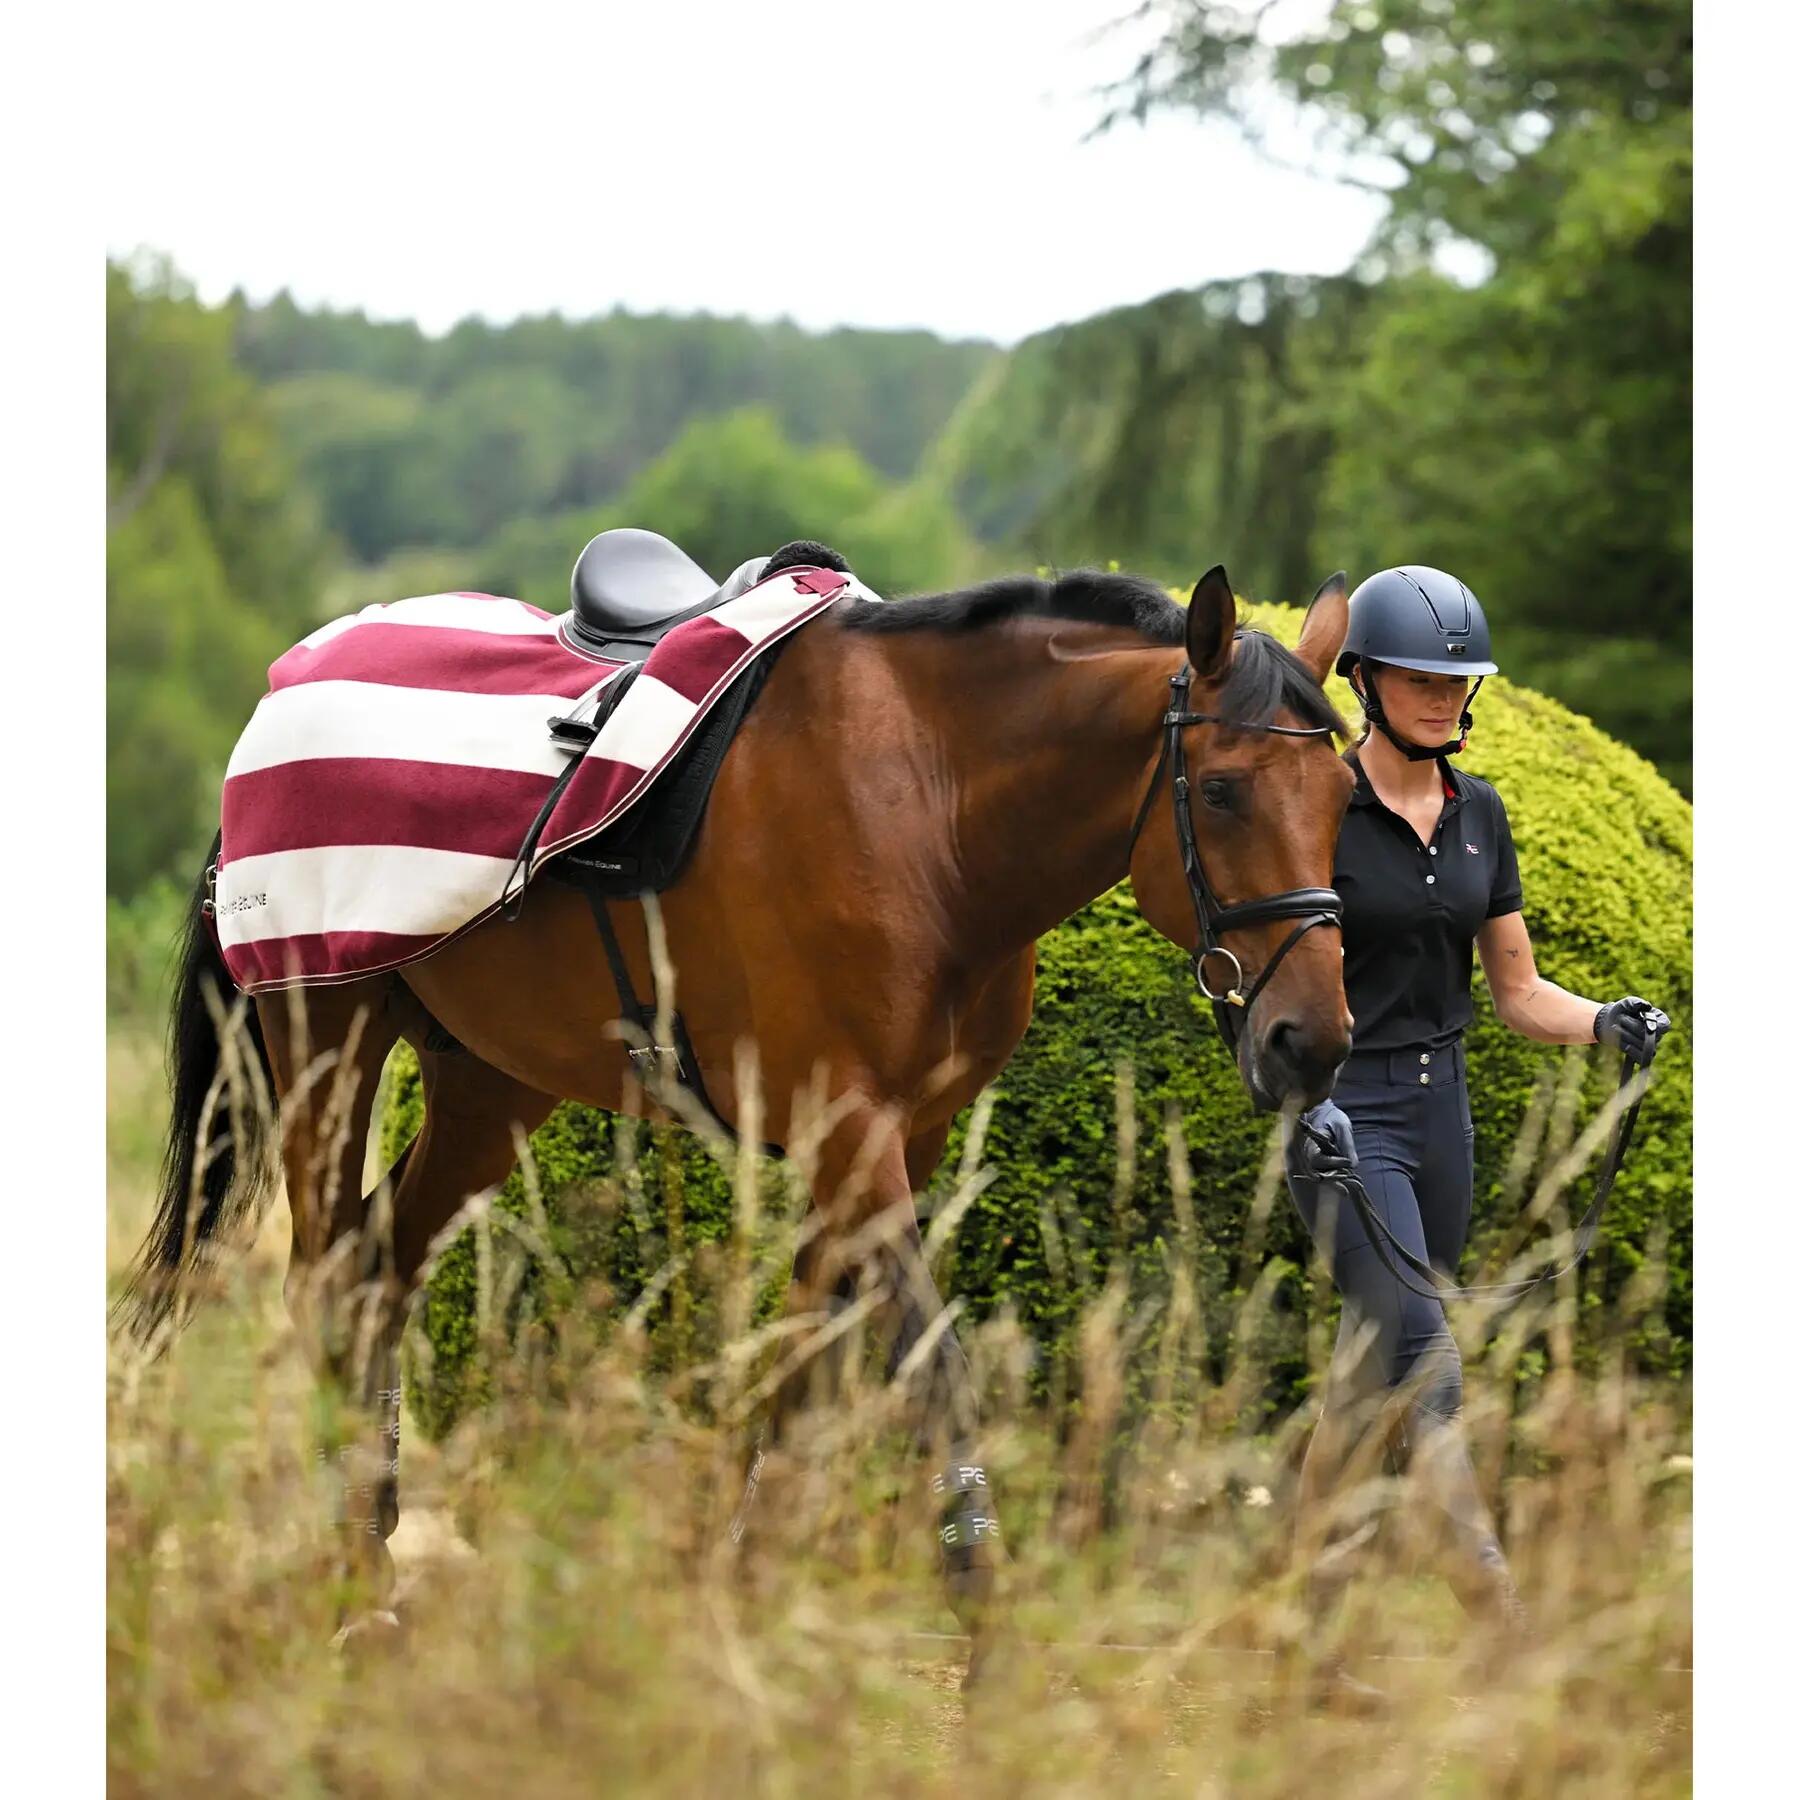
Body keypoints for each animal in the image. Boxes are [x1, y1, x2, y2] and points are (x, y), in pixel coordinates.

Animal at [114, 555, 1356, 1673]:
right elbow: (929, 1367)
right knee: (328, 1279)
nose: (1314, 1039)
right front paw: (984, 1610)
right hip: (325, 1037)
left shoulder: (889, 1141)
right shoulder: (853, 1132)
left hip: (486, 1085)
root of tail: (286, 694)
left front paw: (747, 1596)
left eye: (1347, 798)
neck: (926, 802)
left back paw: (367, 1555)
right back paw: (338, 1581)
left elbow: (808, 1373)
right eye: (1224, 790)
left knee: (377, 1271)